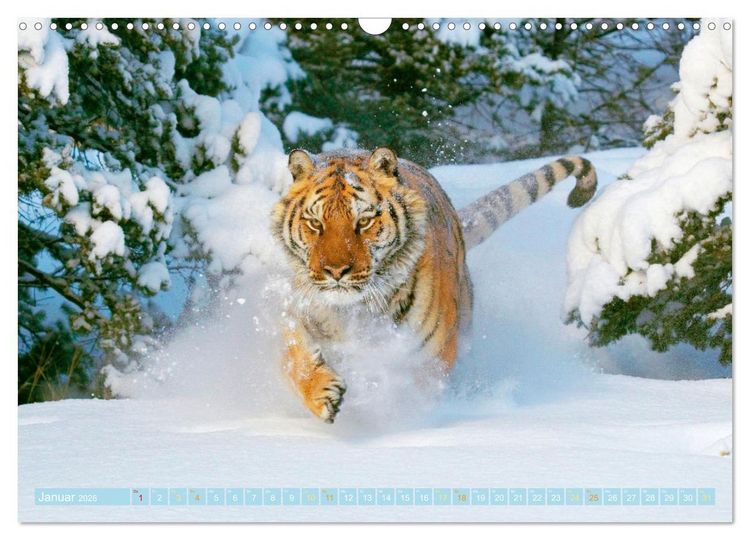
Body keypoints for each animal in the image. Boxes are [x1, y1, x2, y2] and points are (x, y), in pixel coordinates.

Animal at [270, 147, 597, 423]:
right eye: (315, 223)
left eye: (363, 221)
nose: (335, 271)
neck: (356, 310)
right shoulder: (294, 311)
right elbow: (293, 357)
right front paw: (323, 395)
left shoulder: (431, 355)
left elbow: (417, 391)